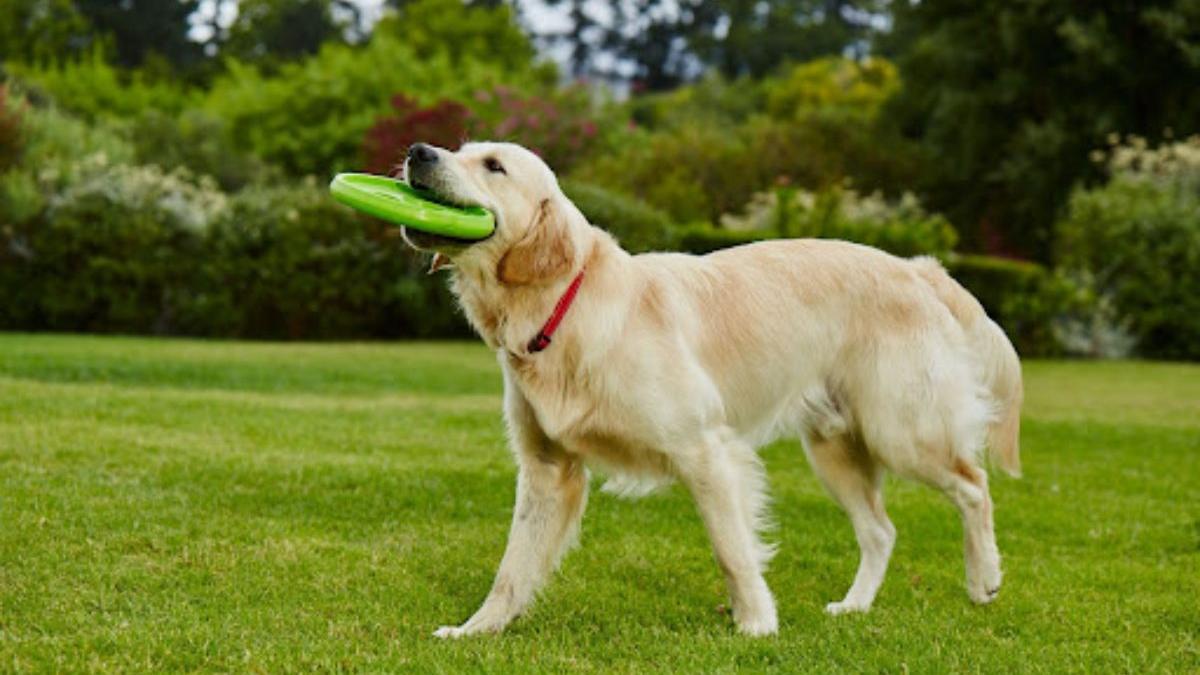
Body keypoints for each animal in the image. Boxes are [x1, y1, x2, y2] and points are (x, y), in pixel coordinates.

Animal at [403, 139, 1022, 634]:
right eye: (461, 149)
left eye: (493, 165)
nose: (417, 151)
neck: (564, 305)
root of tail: (917, 268)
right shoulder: (546, 471)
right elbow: (512, 566)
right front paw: (477, 629)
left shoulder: (705, 451)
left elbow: (732, 550)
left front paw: (756, 625)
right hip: (834, 449)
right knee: (881, 531)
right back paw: (854, 606)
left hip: (902, 431)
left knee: (975, 486)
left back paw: (984, 578)